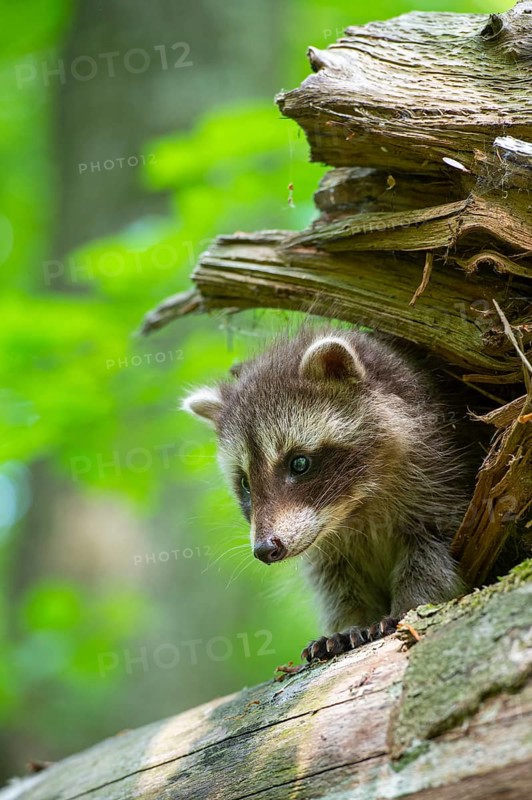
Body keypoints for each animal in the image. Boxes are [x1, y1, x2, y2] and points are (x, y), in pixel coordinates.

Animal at [183, 327, 468, 661]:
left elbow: (431, 551)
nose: (265, 549)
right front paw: (352, 622)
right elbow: (337, 582)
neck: (355, 507)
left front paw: (409, 605)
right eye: (245, 483)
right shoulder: (323, 543)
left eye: (299, 463)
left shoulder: (442, 472)